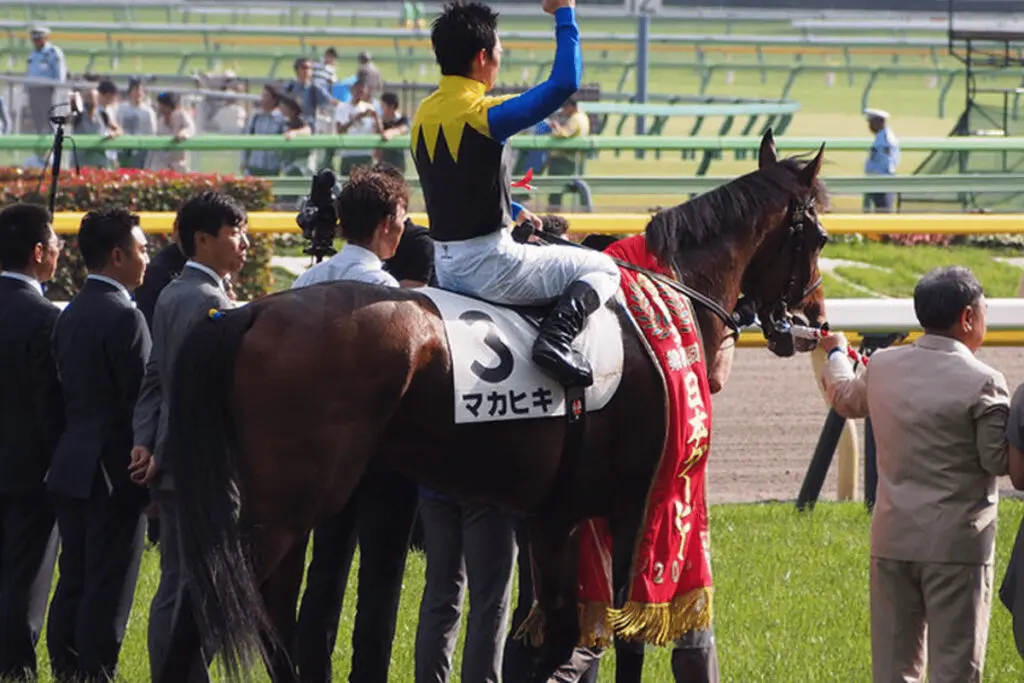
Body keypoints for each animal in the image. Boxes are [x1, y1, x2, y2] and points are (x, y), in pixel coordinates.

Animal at [159, 130, 831, 683]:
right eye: (819, 236)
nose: (816, 318)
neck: (660, 306)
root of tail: (249, 312)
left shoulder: (554, 515)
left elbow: (556, 636)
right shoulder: (636, 505)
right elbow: (624, 638)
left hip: (286, 507)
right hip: (287, 505)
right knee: (206, 613)